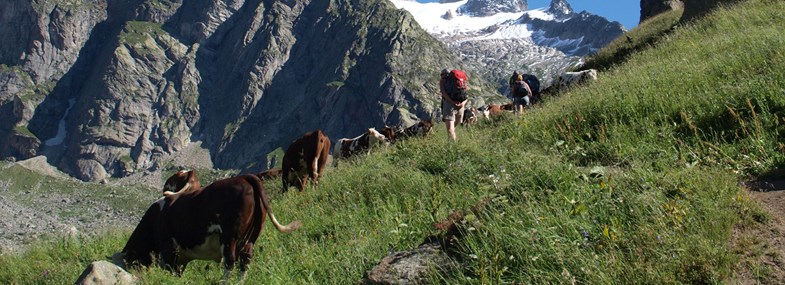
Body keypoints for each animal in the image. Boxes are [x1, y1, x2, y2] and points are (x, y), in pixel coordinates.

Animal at [114, 170, 300, 280]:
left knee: (230, 262)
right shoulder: (180, 258)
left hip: (230, 236)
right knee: (245, 261)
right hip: (251, 237)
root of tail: (245, 177)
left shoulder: (168, 249)